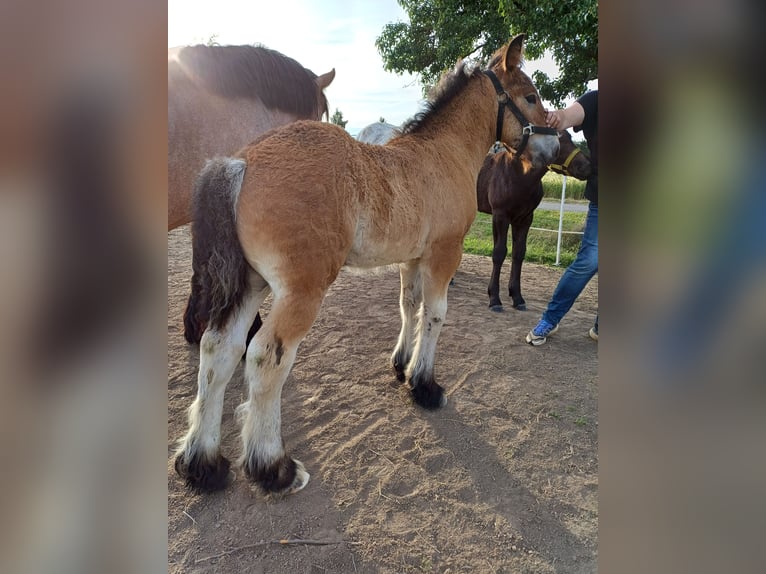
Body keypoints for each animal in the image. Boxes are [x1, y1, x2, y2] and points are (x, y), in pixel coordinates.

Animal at [476, 129, 592, 312]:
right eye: (558, 142)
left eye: (571, 137)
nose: (586, 166)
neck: (517, 175)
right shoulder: (500, 216)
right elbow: (499, 253)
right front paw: (494, 298)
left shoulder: (525, 218)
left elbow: (519, 253)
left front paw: (517, 297)